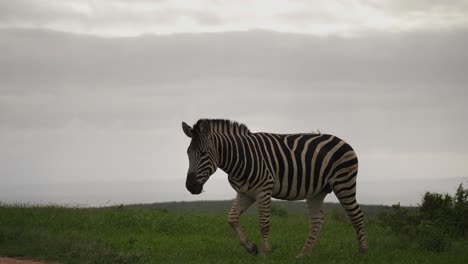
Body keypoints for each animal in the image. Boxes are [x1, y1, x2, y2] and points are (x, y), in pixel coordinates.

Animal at [181, 118, 368, 256]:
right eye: (188, 154)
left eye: (204, 153)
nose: (190, 187)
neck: (240, 157)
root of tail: (342, 141)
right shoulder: (245, 192)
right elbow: (232, 218)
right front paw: (251, 248)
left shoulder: (264, 190)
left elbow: (263, 224)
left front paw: (265, 253)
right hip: (317, 191)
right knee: (317, 220)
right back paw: (303, 255)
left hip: (344, 182)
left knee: (357, 215)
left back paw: (363, 253)